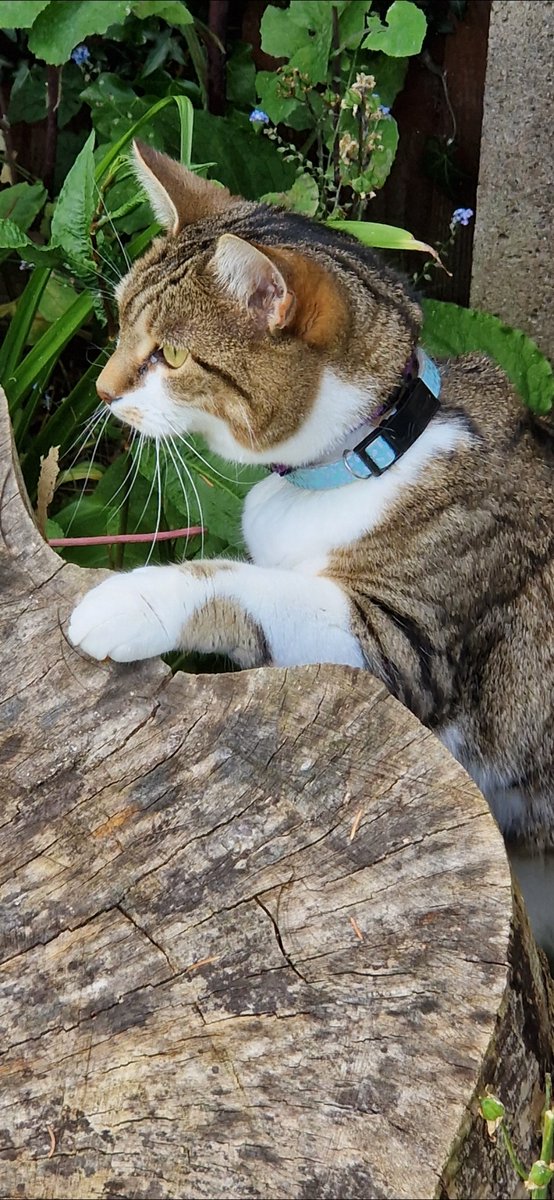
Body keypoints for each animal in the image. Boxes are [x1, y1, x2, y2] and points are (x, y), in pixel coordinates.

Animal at [69, 140, 554, 950]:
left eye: (171, 355)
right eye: (119, 322)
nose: (102, 392)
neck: (373, 448)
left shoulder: (405, 648)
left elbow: (247, 584)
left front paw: (127, 601)